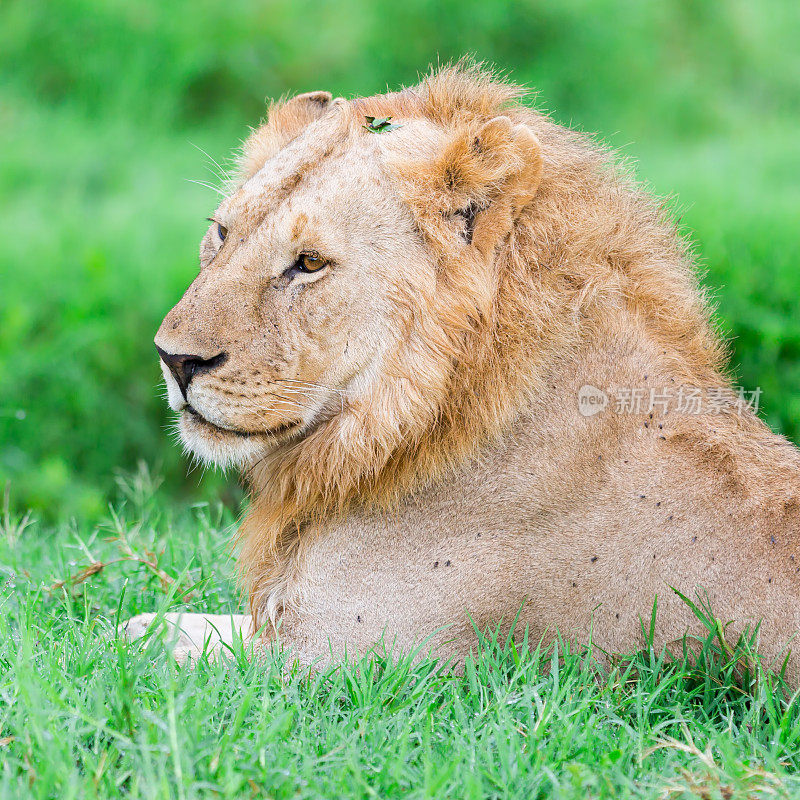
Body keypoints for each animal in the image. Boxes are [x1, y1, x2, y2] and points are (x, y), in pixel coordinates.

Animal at [123, 64, 800, 676]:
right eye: (222, 233)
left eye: (310, 263)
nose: (174, 358)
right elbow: (148, 623)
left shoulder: (353, 656)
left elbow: (153, 650)